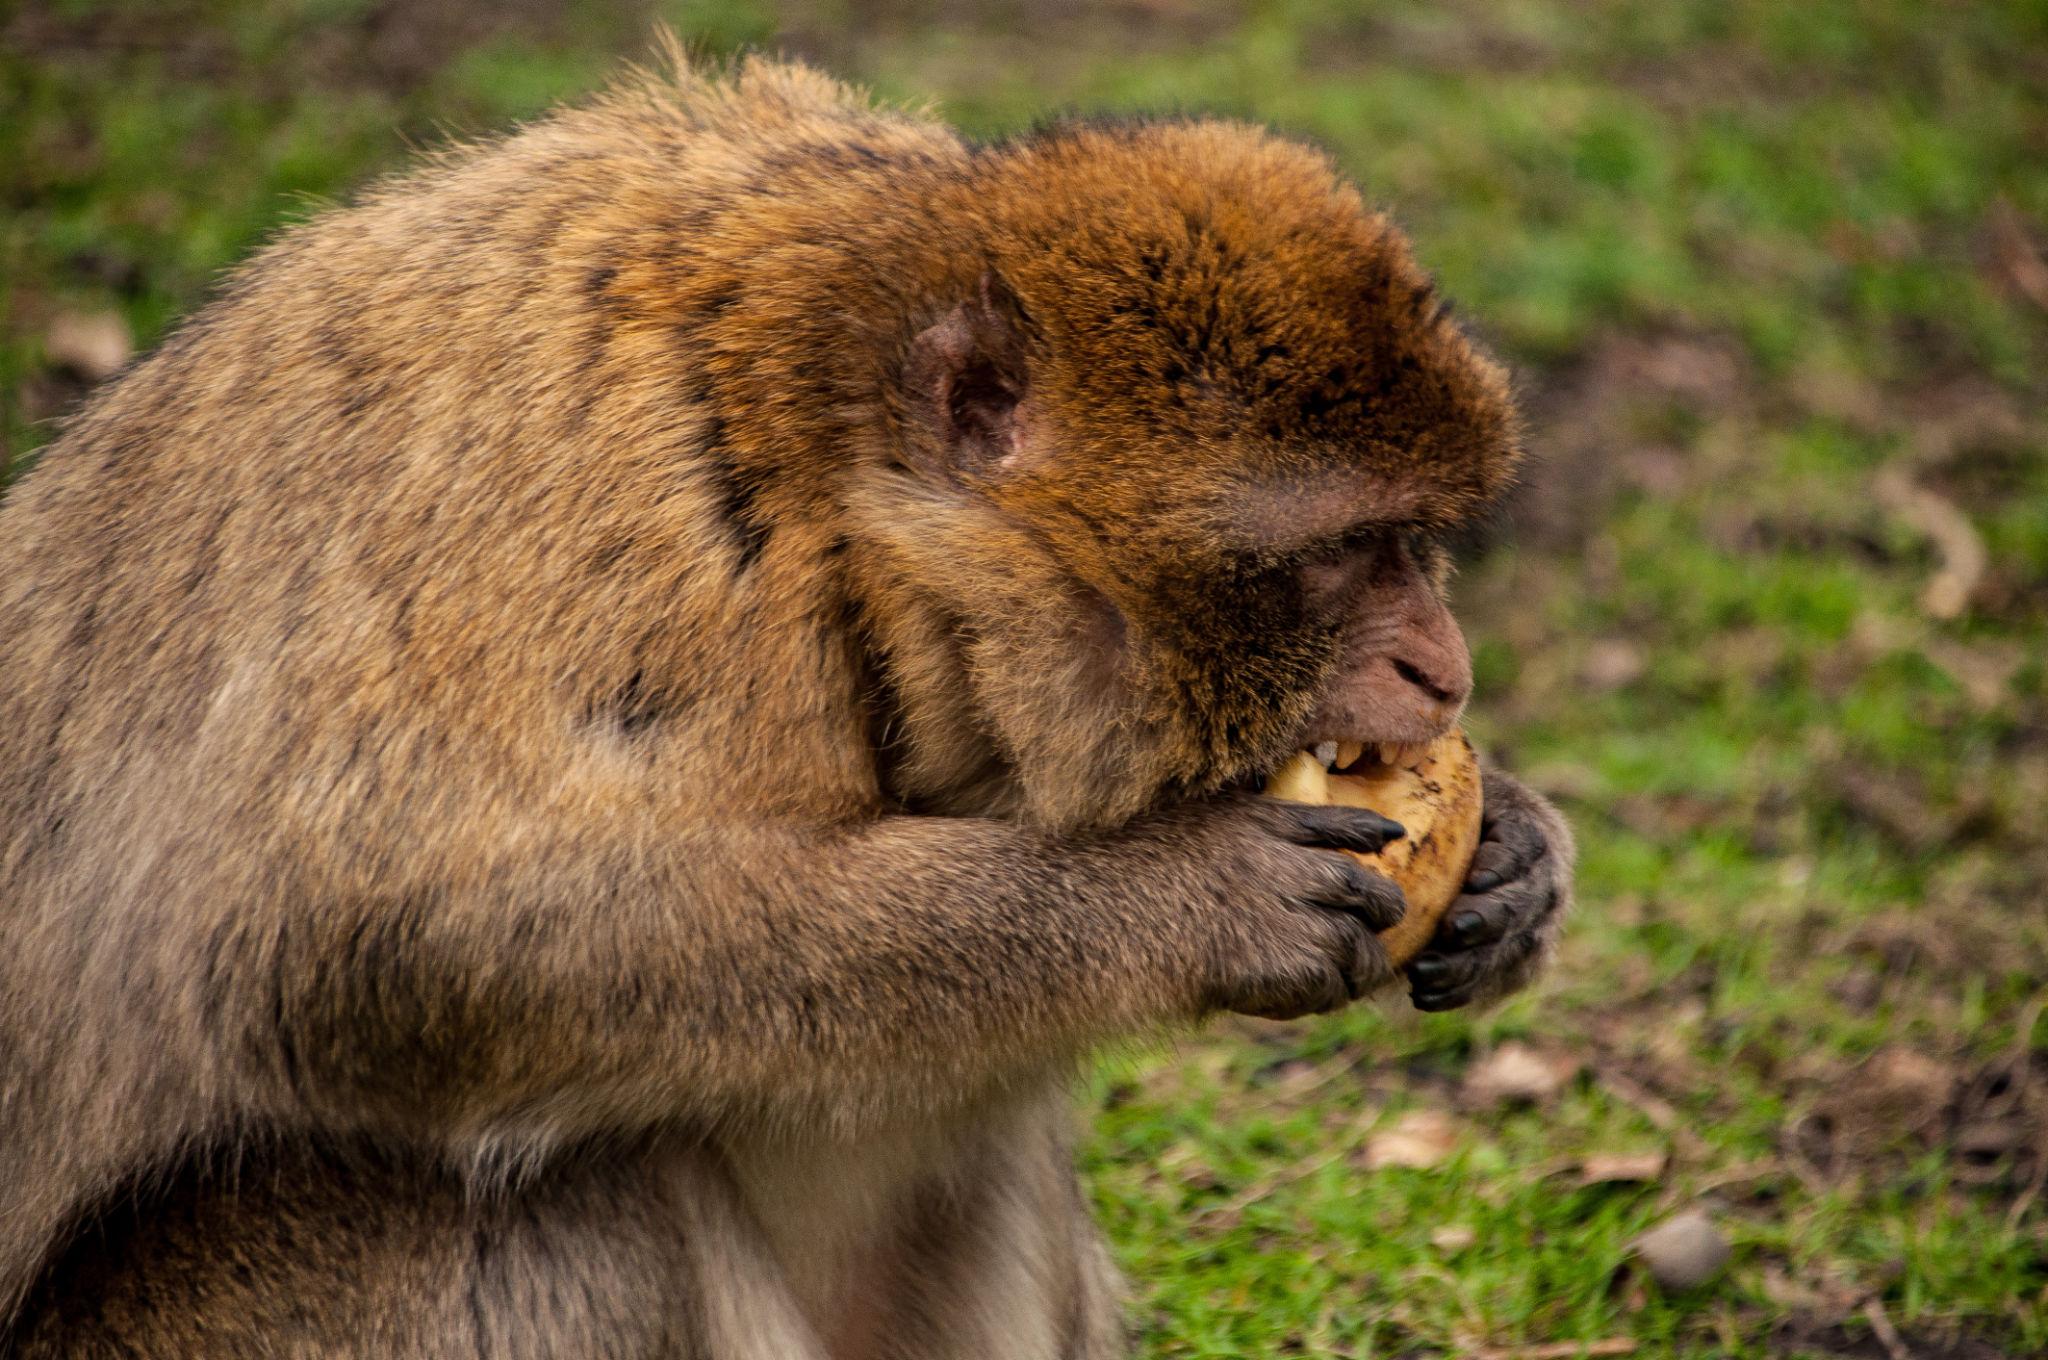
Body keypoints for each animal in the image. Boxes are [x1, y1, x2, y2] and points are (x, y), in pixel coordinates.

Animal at [0, 51, 1572, 1359]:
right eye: (1343, 554)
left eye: (1421, 540)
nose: (1444, 665)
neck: (833, 495)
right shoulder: (596, 504)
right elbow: (370, 936)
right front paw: (1176, 901)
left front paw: (1513, 852)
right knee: (541, 1201)